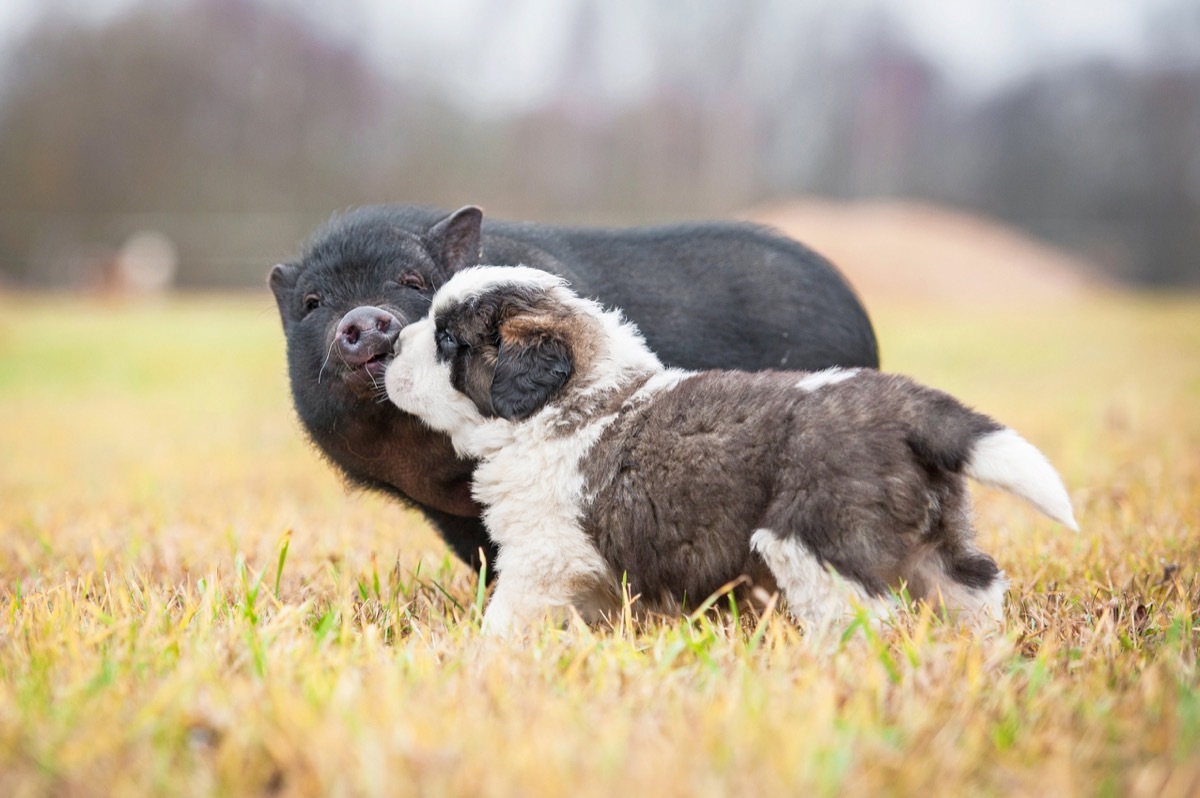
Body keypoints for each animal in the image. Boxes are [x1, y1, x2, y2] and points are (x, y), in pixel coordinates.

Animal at [386, 266, 1080, 633]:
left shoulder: (543, 554)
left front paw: (485, 658)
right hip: (937, 539)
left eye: (449, 342)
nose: (388, 344)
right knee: (974, 587)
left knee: (862, 616)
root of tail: (904, 404)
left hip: (816, 543)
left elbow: (509, 614)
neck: (565, 403)